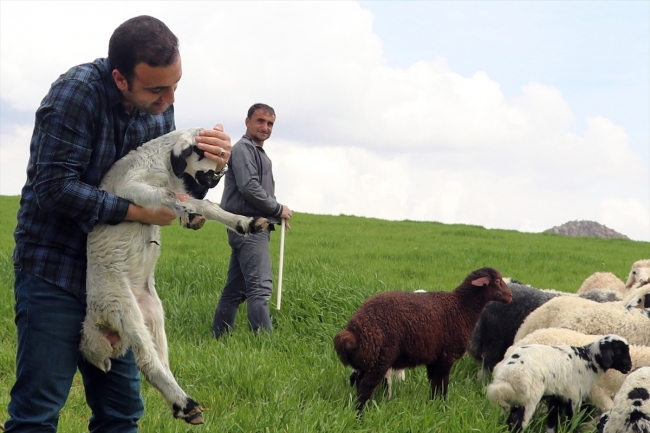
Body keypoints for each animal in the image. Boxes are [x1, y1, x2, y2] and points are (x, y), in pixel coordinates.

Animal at [79, 127, 268, 422]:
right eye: (203, 152)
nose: (215, 179)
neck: (162, 165)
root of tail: (95, 317)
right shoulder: (132, 186)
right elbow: (170, 196)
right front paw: (190, 215)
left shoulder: (181, 192)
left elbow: (206, 205)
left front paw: (246, 222)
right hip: (122, 307)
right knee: (147, 362)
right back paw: (187, 405)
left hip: (153, 313)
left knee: (161, 360)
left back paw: (182, 407)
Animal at [334, 264, 512, 410]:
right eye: (497, 281)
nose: (510, 296)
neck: (462, 308)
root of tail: (352, 332)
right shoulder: (446, 357)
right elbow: (442, 384)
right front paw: (443, 408)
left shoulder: (434, 358)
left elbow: (434, 384)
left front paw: (433, 405)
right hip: (380, 358)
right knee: (366, 386)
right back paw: (360, 415)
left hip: (368, 360)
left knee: (358, 383)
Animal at [486, 334, 628, 432]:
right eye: (619, 351)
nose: (629, 367)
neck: (587, 360)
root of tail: (508, 375)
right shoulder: (574, 397)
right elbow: (572, 421)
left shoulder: (557, 396)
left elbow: (552, 422)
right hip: (529, 398)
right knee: (518, 424)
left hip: (517, 399)